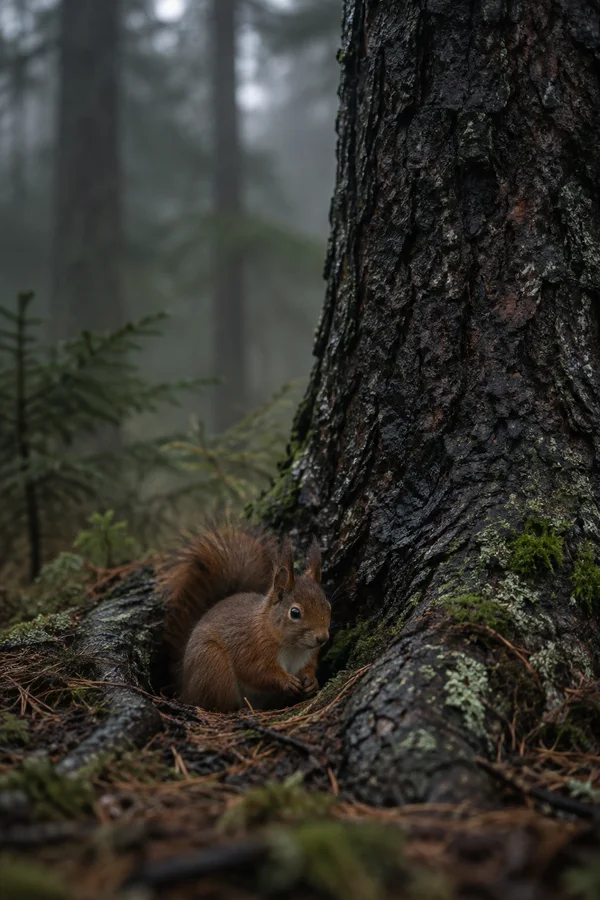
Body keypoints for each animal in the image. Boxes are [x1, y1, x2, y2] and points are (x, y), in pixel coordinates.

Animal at [157, 525, 331, 713]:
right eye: (295, 613)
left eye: (328, 605)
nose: (322, 638)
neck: (294, 647)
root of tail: (184, 684)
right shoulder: (250, 647)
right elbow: (254, 672)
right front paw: (286, 680)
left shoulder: (309, 654)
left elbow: (309, 667)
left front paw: (312, 681)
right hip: (213, 666)